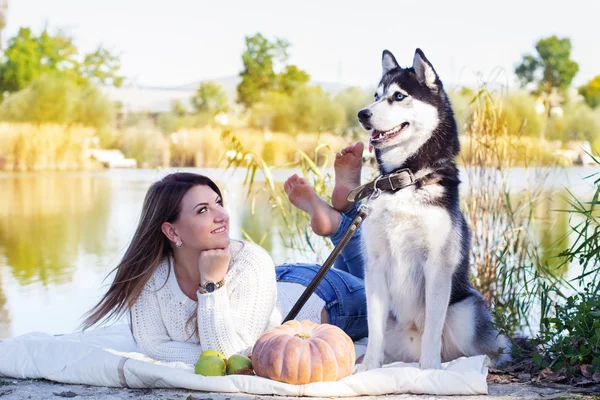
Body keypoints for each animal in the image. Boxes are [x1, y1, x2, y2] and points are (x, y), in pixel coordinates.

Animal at [354, 48, 508, 370]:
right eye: (376, 95)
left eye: (398, 96)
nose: (362, 114)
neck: (405, 180)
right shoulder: (374, 265)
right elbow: (374, 330)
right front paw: (369, 368)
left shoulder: (438, 265)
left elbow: (433, 328)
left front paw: (429, 371)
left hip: (467, 310)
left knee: (489, 349)